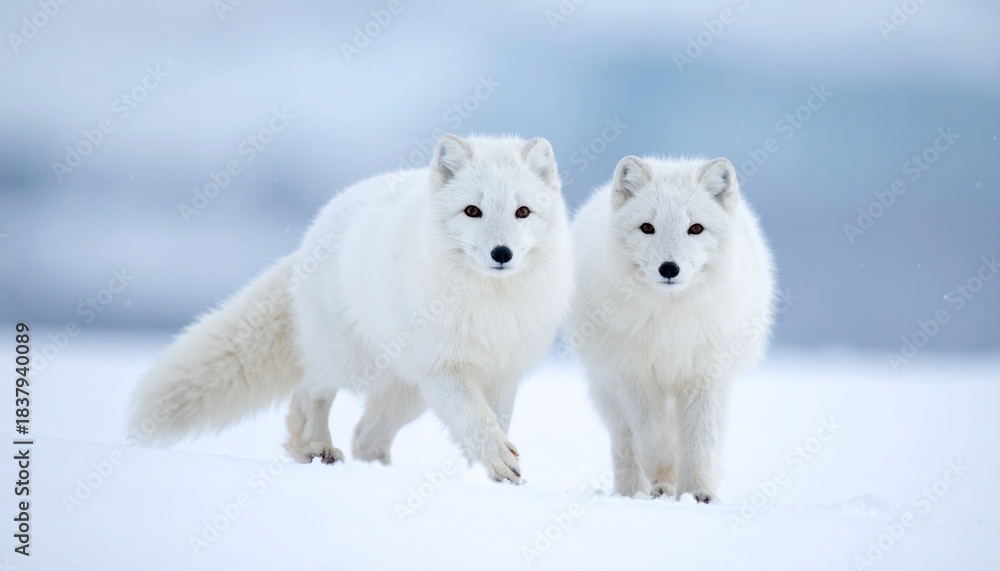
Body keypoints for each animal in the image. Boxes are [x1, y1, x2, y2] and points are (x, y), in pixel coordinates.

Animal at [128, 134, 573, 483]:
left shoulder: (502, 372)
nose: (502, 253)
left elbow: (493, 421)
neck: (490, 302)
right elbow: (476, 420)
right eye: (472, 211)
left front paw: (488, 477)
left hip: (407, 390)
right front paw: (499, 463)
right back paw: (314, 448)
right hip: (352, 361)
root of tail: (314, 232)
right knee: (309, 392)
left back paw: (380, 472)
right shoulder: (443, 366)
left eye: (522, 212)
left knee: (366, 436)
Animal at [567, 155, 775, 502]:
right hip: (607, 389)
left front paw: (698, 493)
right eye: (647, 227)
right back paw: (632, 493)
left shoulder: (705, 374)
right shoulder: (634, 374)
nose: (669, 268)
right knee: (625, 444)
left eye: (695, 229)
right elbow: (652, 438)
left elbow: (699, 441)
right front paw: (665, 480)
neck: (671, 322)